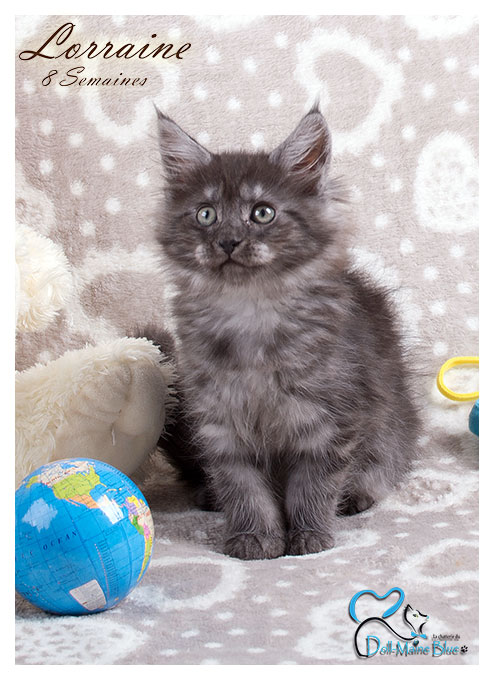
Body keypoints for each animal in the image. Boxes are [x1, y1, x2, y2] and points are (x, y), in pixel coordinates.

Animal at [153, 104, 420, 560]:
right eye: (206, 214)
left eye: (262, 212)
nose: (228, 241)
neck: (250, 310)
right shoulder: (220, 422)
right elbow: (242, 487)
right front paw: (254, 537)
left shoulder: (330, 419)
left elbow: (312, 486)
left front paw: (309, 536)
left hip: (393, 429)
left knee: (385, 463)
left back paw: (357, 496)